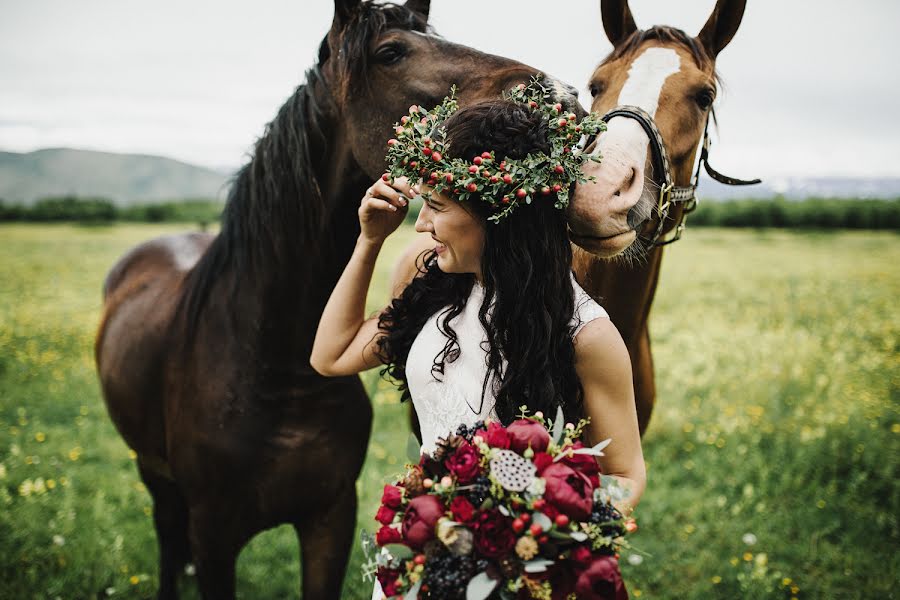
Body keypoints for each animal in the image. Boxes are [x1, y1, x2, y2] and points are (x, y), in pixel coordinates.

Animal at [96, 2, 576, 596]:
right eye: (390, 52)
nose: (558, 94)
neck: (276, 368)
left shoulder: (331, 519)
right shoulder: (212, 538)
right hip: (153, 471)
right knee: (166, 533)